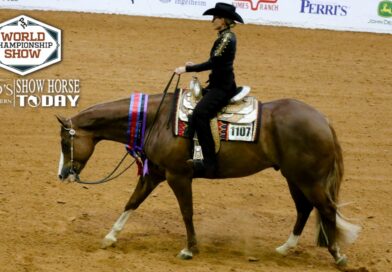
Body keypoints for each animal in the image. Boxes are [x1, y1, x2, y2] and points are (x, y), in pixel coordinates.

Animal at [56, 87, 360, 266]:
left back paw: (337, 255)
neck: (157, 119)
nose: (62, 175)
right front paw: (110, 237)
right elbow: (132, 202)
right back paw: (286, 248)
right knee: (305, 209)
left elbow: (186, 212)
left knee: (326, 209)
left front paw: (190, 249)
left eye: (64, 142)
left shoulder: (178, 176)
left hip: (309, 179)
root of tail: (323, 120)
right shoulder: (154, 174)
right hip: (294, 177)